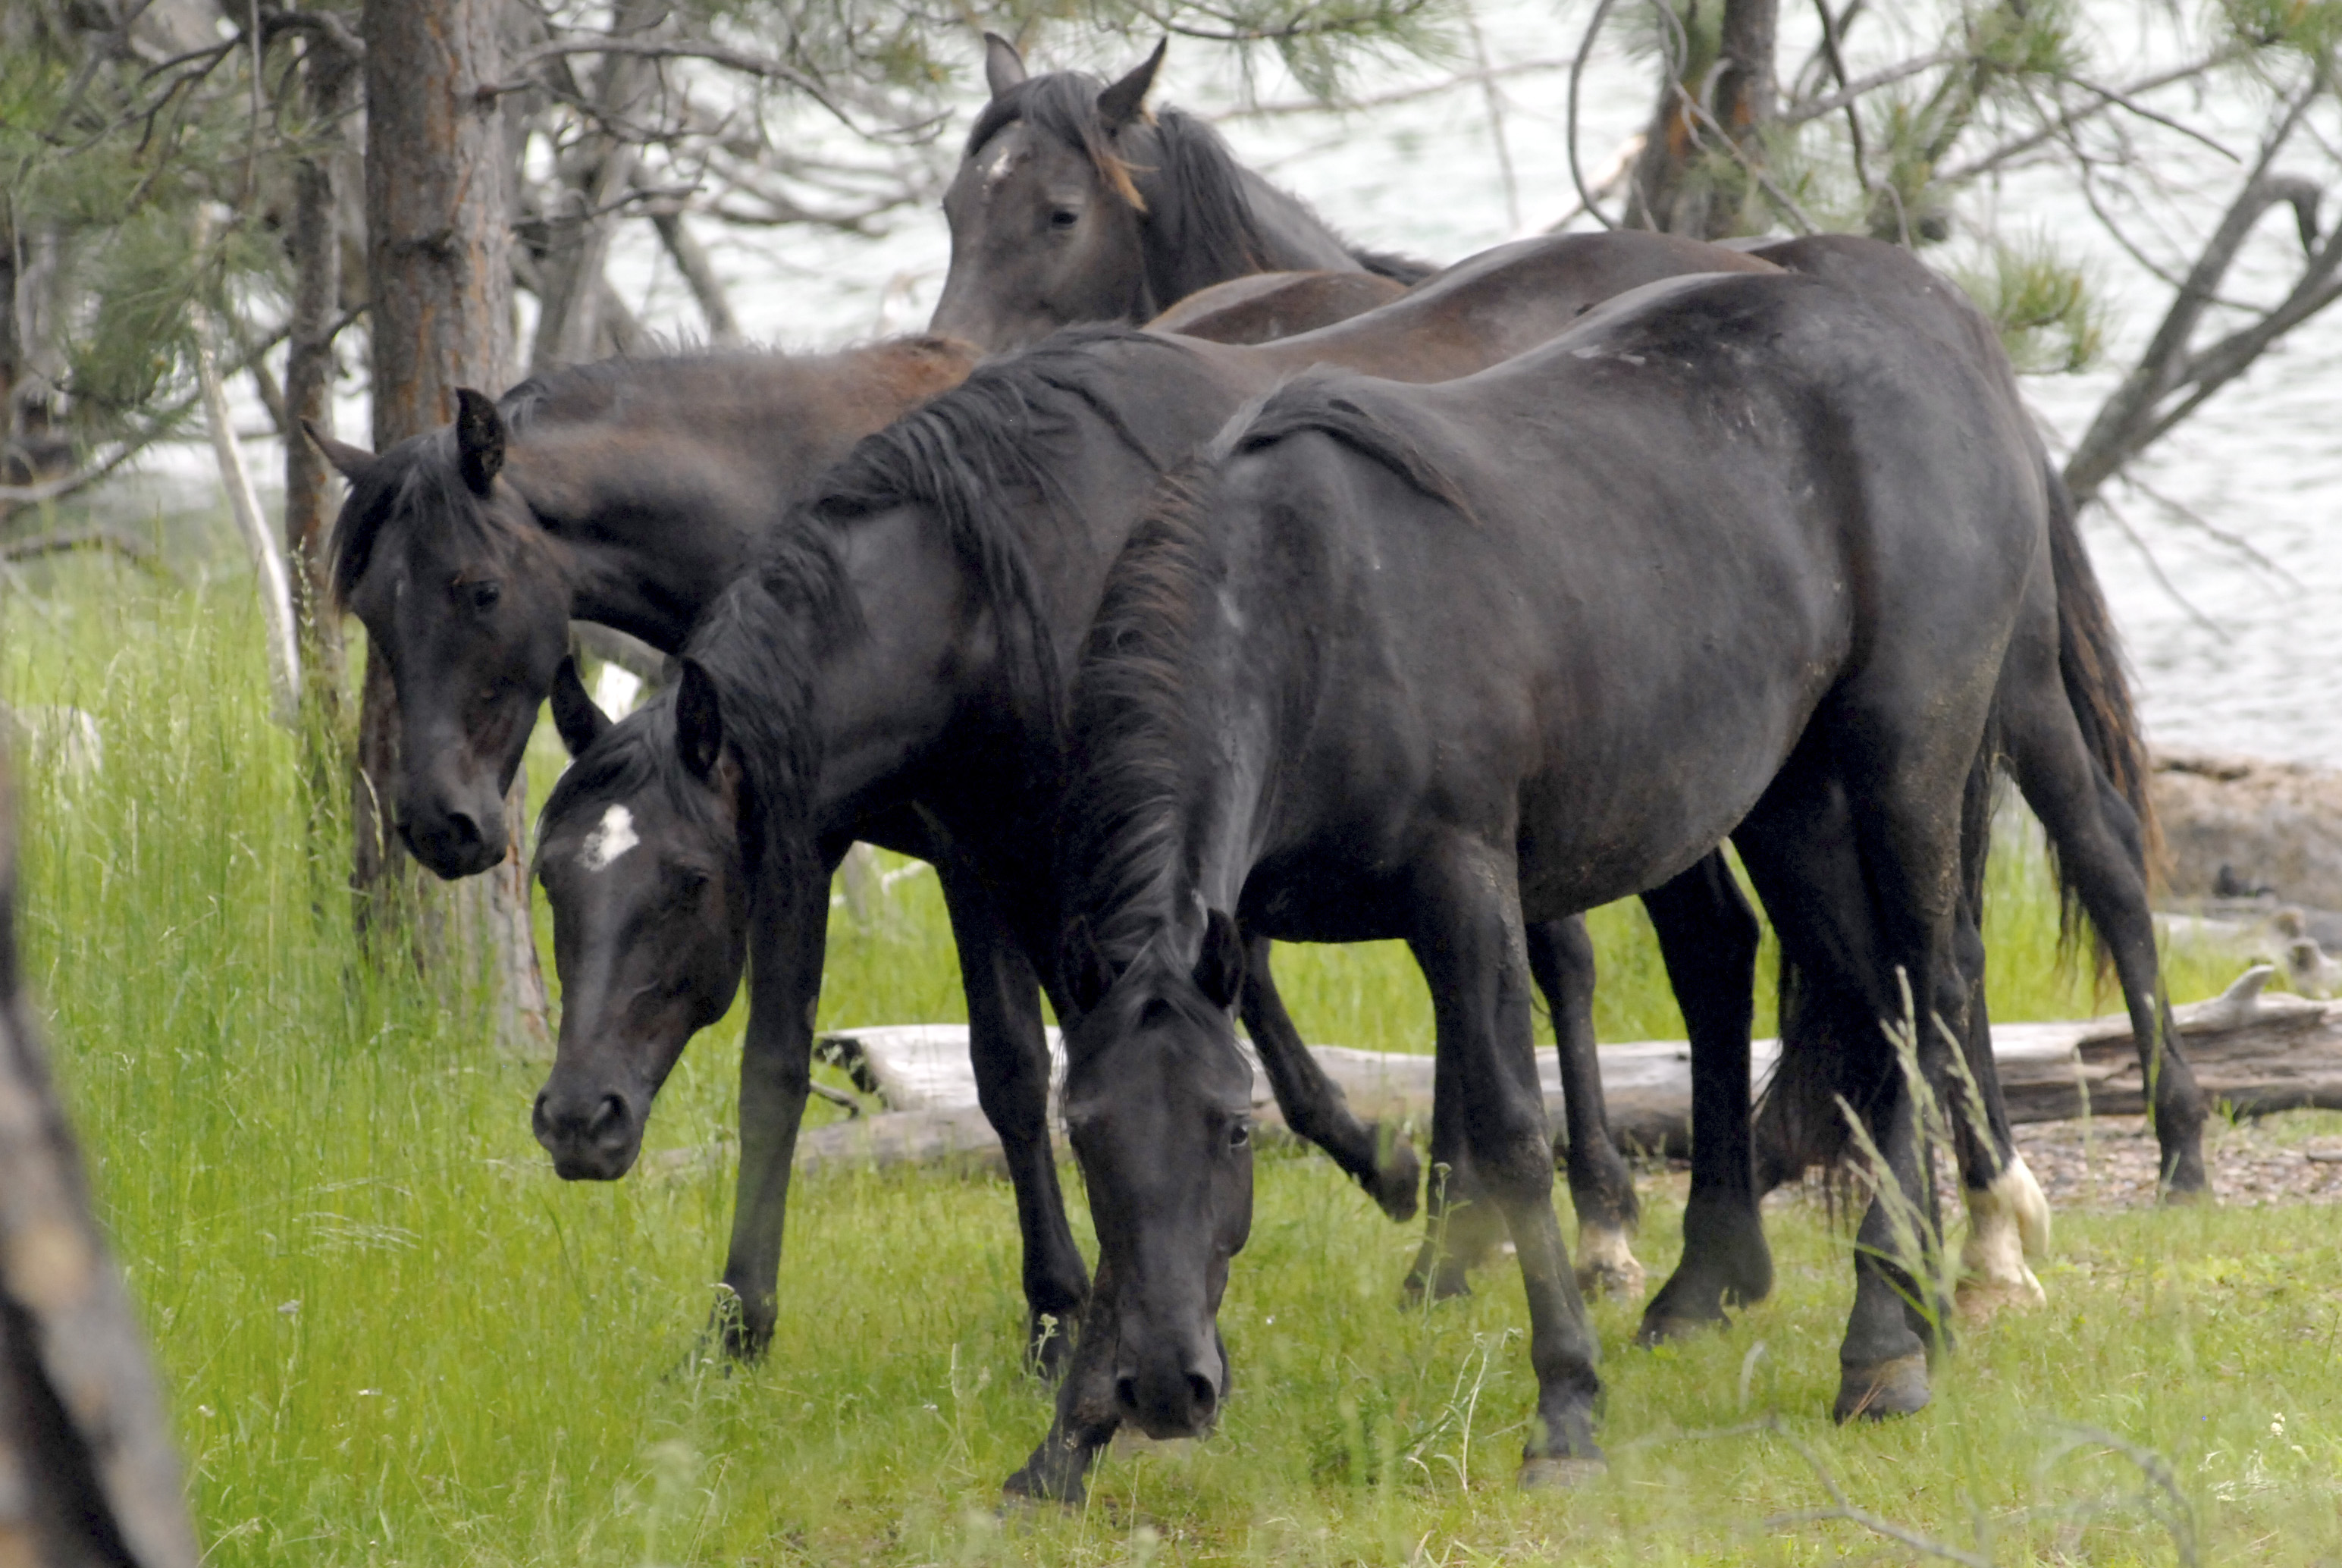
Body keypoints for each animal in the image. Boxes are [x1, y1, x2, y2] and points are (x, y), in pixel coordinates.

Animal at [526, 232, 1789, 1370]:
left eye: (687, 884)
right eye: (552, 881)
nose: (578, 1122)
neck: (982, 593)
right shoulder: (932, 847)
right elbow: (879, 1069)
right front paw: (747, 1324)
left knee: (1654, 958)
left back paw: (1592, 1243)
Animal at [1017, 269, 2063, 1501]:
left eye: (1232, 1130)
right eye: (1085, 1133)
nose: (1166, 1390)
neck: (1305, 608)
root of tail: (1947, 331)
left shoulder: (1464, 884)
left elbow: (1515, 1129)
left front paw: (1564, 1407)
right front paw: (1065, 1443)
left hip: (1903, 761)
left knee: (1923, 989)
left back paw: (1891, 1338)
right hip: (1789, 797)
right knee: (1854, 999)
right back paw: (1859, 1313)